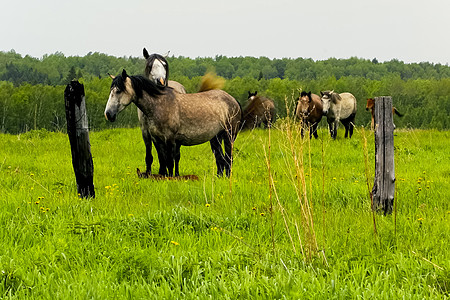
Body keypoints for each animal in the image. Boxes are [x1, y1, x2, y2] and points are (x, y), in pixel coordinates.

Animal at [104, 69, 243, 178]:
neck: (159, 104)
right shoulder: (156, 139)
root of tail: (233, 100)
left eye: (118, 91)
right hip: (215, 138)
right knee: (220, 158)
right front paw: (161, 177)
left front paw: (171, 179)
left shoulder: (170, 139)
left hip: (229, 135)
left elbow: (170, 162)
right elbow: (162, 160)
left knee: (228, 158)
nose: (108, 114)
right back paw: (219, 178)